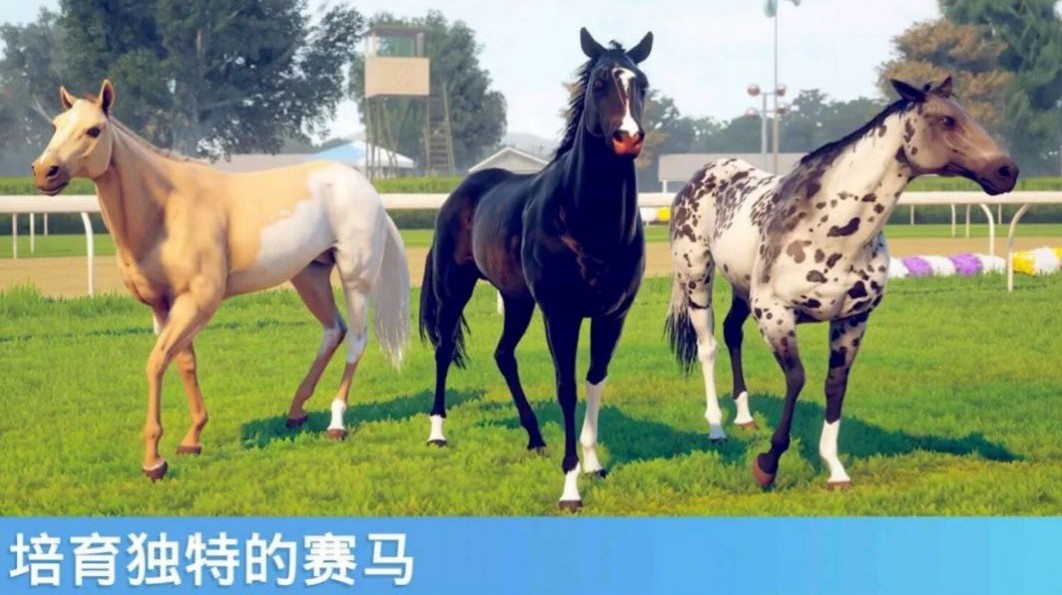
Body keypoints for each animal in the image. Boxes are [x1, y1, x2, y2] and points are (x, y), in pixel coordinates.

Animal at [31, 80, 411, 481]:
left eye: (94, 130)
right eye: (56, 125)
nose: (44, 172)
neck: (167, 210)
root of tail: (369, 191)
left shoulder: (199, 301)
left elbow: (157, 362)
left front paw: (154, 461)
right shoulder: (164, 306)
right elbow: (183, 362)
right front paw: (191, 440)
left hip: (356, 279)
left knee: (356, 341)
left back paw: (336, 424)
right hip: (309, 277)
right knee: (333, 330)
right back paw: (295, 412)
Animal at [419, 28, 652, 510]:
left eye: (642, 84)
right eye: (599, 82)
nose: (628, 138)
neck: (583, 219)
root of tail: (459, 193)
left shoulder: (611, 315)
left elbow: (595, 380)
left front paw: (593, 463)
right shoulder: (560, 315)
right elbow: (566, 386)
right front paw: (570, 486)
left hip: (517, 300)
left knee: (503, 355)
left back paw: (534, 437)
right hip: (455, 291)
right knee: (443, 350)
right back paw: (437, 433)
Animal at [665, 77, 1017, 490]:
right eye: (946, 120)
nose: (1007, 170)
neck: (831, 229)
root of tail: (703, 175)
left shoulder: (852, 319)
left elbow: (835, 385)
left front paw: (834, 469)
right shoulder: (775, 314)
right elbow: (797, 378)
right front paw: (767, 465)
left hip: (740, 286)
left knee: (732, 331)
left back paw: (744, 417)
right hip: (697, 280)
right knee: (708, 346)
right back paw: (717, 427)